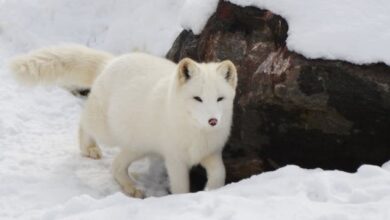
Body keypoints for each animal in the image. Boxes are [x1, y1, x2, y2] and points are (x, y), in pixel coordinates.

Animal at [9, 44, 238, 198]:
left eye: (220, 98)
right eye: (197, 98)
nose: (213, 121)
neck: (196, 133)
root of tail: (110, 62)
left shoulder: (211, 152)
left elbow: (220, 173)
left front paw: (212, 190)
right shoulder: (175, 159)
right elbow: (181, 187)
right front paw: (182, 200)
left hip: (137, 146)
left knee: (116, 166)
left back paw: (131, 188)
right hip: (108, 132)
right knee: (83, 122)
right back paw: (89, 148)